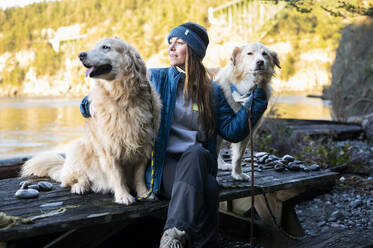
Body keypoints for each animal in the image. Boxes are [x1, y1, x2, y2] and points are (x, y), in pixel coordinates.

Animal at [20, 37, 160, 204]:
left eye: (106, 47)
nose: (80, 55)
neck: (122, 96)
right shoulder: (109, 148)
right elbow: (117, 175)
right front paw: (123, 196)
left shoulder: (144, 145)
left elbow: (139, 176)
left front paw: (145, 193)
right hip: (79, 148)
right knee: (73, 179)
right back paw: (80, 186)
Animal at [214, 41, 278, 181]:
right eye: (249, 53)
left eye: (265, 54)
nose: (260, 62)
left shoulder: (246, 128)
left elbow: (239, 155)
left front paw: (237, 174)